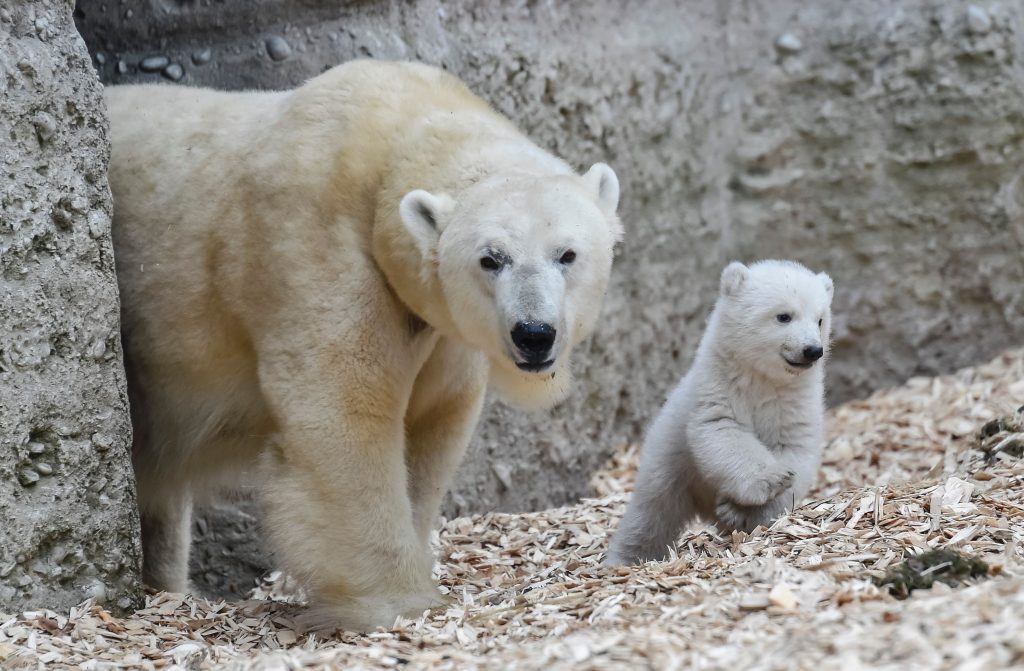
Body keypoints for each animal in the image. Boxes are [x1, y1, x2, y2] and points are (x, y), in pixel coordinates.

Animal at [103, 60, 618, 631]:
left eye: (567, 254)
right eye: (490, 259)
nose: (533, 334)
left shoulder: (439, 324)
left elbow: (435, 419)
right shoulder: (315, 245)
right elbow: (345, 415)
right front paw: (400, 602)